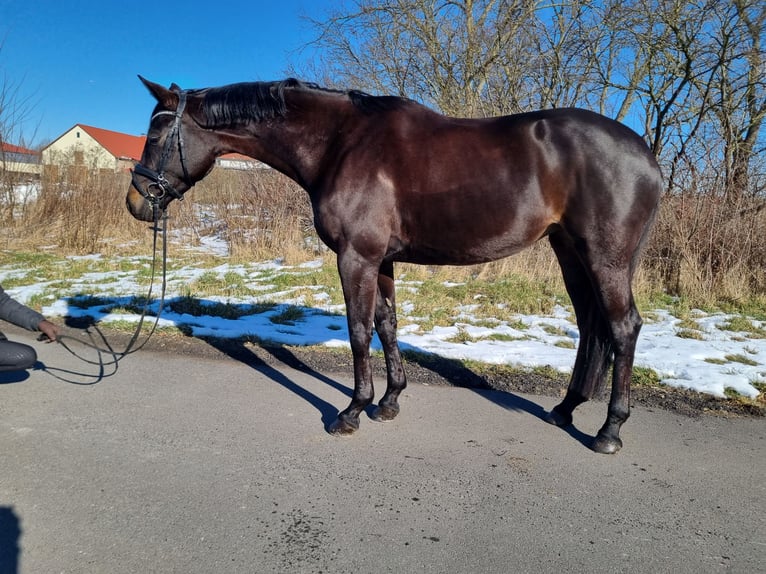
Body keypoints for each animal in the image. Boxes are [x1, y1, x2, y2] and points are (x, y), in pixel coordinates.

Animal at [129, 76, 664, 454]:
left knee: (622, 327)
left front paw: (351, 411)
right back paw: (565, 409)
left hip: (605, 257)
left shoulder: (355, 257)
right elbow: (386, 324)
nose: (137, 203)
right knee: (591, 326)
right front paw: (389, 402)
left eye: (156, 131)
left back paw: (609, 431)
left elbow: (359, 329)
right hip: (570, 252)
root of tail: (647, 156)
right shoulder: (381, 259)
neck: (340, 143)